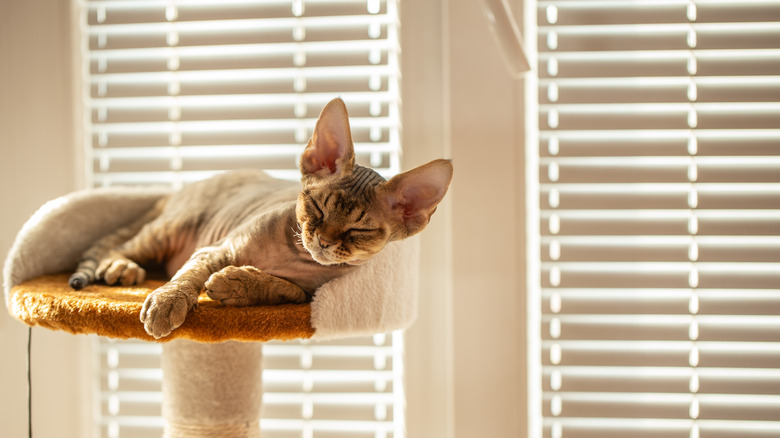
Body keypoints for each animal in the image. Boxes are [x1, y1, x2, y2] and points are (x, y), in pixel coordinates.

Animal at [70, 98, 454, 338]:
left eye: (359, 230)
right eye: (317, 207)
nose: (324, 241)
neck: (294, 255)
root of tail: (180, 189)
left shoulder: (308, 296)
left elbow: (286, 289)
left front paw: (237, 284)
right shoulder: (216, 248)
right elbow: (188, 276)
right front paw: (168, 302)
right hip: (169, 228)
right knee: (120, 246)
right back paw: (122, 267)